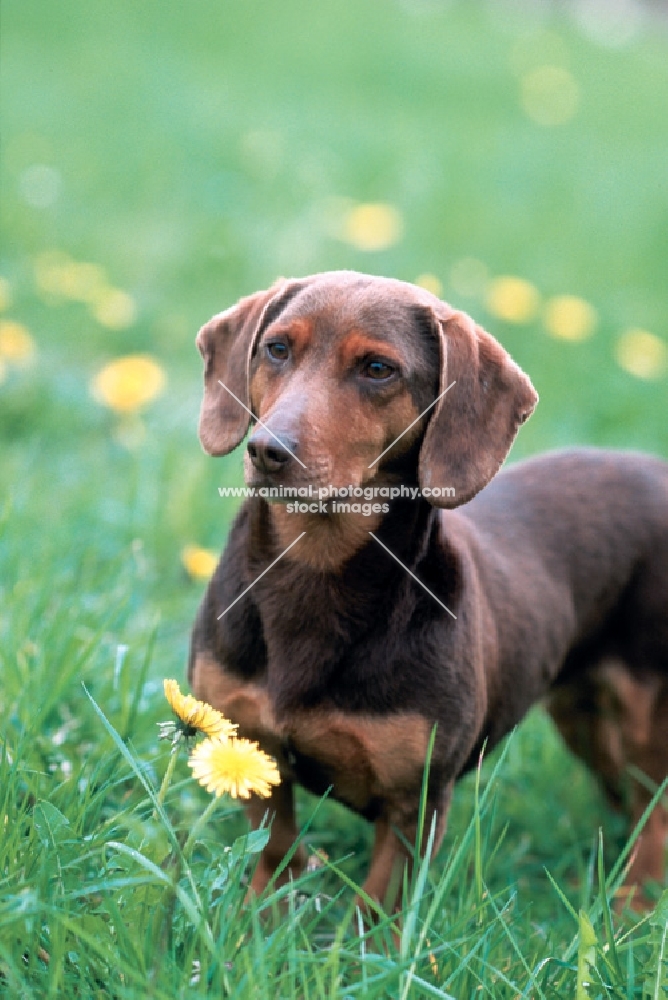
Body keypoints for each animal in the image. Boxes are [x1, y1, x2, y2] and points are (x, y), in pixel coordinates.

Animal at [189, 270, 668, 912]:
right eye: (277, 348)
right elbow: (276, 854)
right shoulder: (253, 753)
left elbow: (377, 912)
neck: (316, 571)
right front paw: (256, 924)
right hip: (582, 716)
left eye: (377, 368)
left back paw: (632, 906)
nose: (268, 450)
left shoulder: (413, 804)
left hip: (646, 712)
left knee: (654, 813)